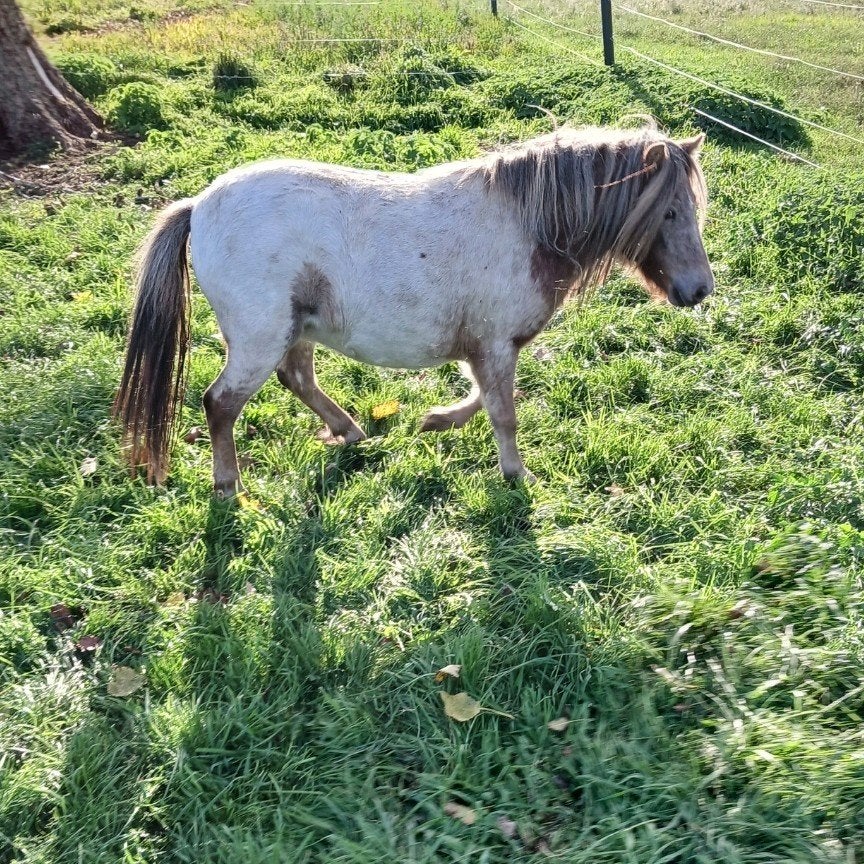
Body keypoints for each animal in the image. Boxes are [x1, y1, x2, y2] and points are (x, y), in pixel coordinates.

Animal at [114, 125, 713, 498]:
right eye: (669, 211)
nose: (700, 290)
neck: (527, 227)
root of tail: (198, 206)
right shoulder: (495, 345)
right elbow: (503, 412)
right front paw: (516, 476)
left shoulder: (485, 347)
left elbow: (481, 399)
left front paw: (436, 420)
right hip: (259, 341)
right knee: (220, 404)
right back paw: (228, 485)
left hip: (296, 329)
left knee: (297, 379)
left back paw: (350, 432)